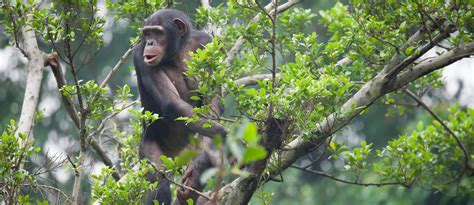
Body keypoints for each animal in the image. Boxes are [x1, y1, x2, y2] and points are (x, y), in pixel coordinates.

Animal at [132, 8, 227, 204]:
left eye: (157, 33)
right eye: (147, 33)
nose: (150, 42)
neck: (176, 51)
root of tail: (175, 157)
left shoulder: (207, 43)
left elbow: (212, 100)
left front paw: (197, 170)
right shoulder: (139, 55)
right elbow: (171, 102)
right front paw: (222, 133)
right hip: (148, 147)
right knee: (159, 185)